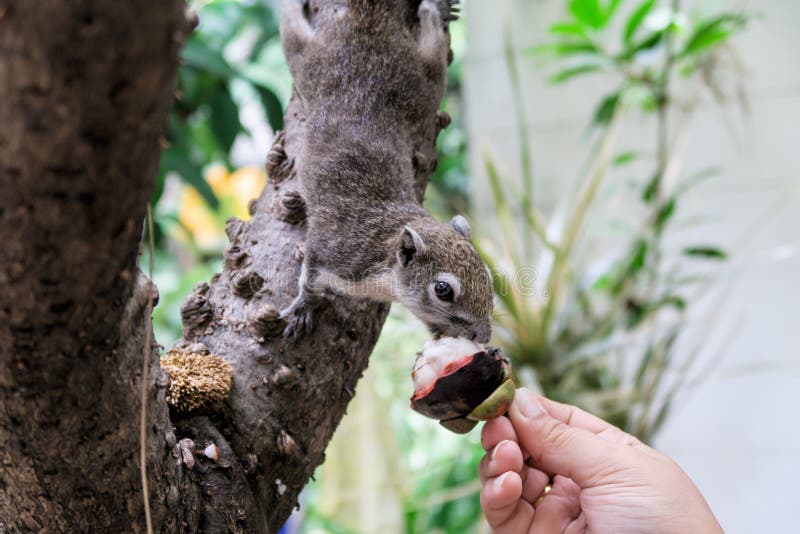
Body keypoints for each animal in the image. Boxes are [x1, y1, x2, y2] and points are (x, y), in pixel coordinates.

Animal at [279, 0, 493, 343]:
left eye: (486, 274)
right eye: (443, 290)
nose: (484, 336)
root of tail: (368, 31)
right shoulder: (336, 252)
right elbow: (310, 277)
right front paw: (303, 306)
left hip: (422, 81)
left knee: (432, 48)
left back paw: (435, 11)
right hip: (313, 62)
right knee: (293, 35)